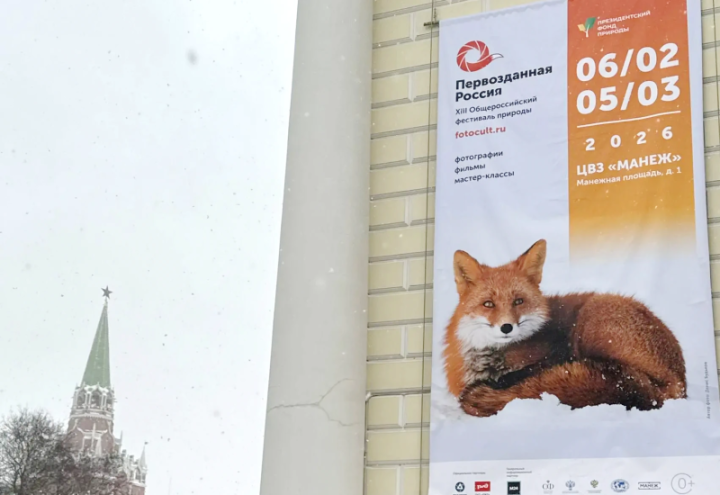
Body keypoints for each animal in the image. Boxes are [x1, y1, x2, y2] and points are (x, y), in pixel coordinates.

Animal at [442, 239, 687, 418]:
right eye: (488, 304)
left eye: (518, 301)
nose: (506, 327)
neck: (489, 359)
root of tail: (679, 383)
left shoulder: (553, 354)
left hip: (592, 320)